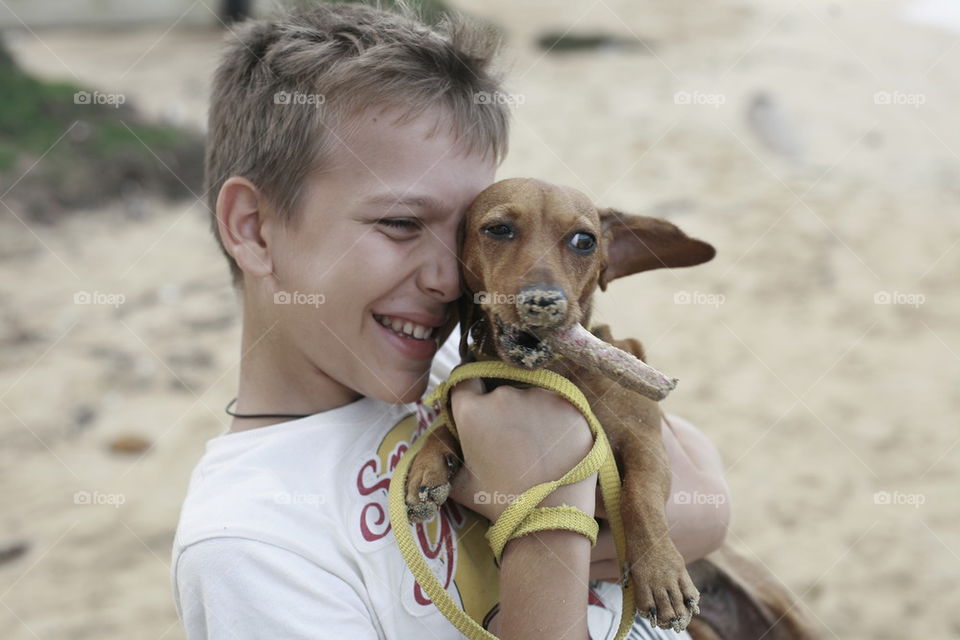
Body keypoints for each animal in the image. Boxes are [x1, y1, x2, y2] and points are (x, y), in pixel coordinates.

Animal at [404, 178, 816, 636]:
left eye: (584, 241)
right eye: (498, 229)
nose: (543, 301)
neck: (552, 373)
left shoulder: (646, 443)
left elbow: (638, 497)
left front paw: (660, 573)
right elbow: (445, 423)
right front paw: (428, 463)